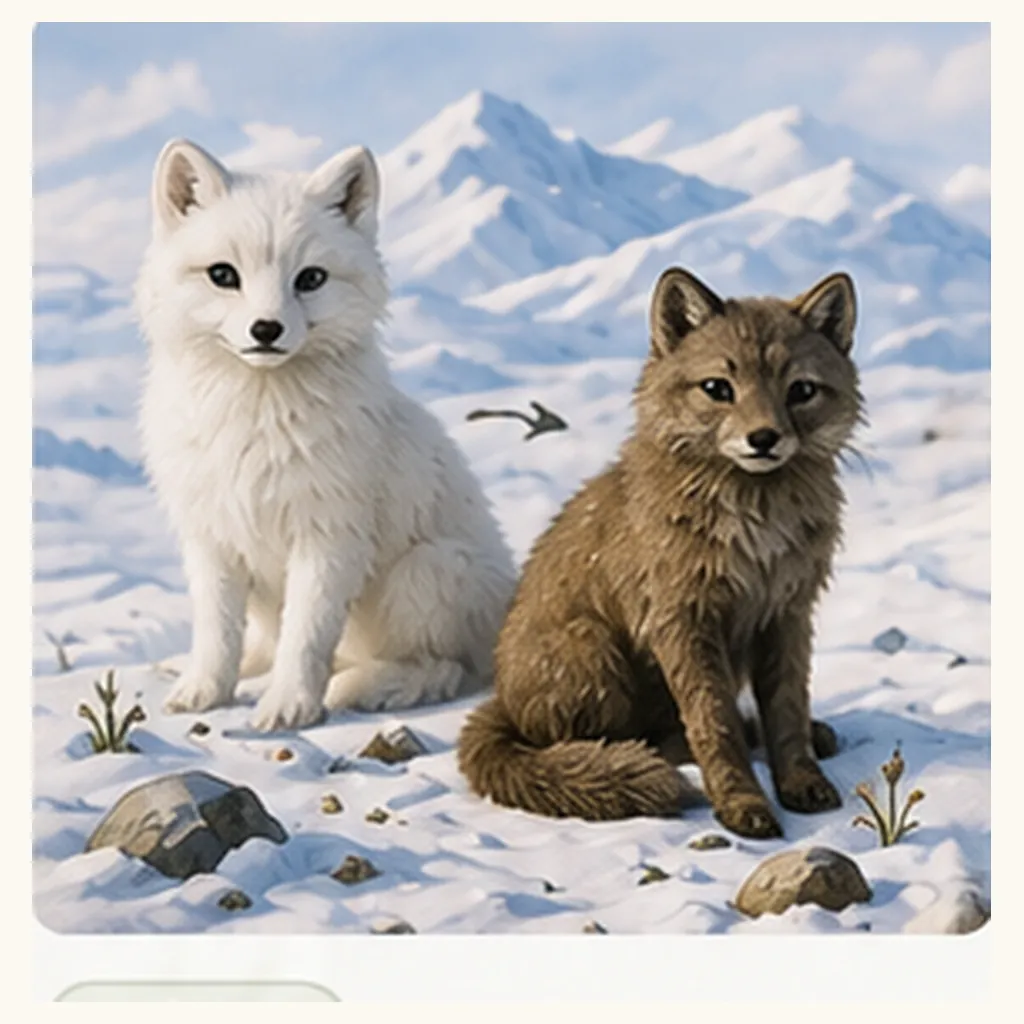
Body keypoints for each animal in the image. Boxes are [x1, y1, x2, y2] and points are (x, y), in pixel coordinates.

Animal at [135, 139, 516, 732]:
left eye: (310, 279)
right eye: (223, 275)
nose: (266, 330)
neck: (256, 418)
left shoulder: (329, 537)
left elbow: (306, 635)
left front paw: (289, 707)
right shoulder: (211, 536)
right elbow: (217, 631)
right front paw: (204, 692)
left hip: (428, 571)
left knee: (444, 668)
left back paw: (363, 687)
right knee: (260, 642)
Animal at [458, 267, 863, 838]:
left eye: (801, 390)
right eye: (718, 388)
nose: (763, 438)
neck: (754, 524)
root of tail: (502, 703)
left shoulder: (786, 611)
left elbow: (787, 713)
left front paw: (801, 781)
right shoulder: (682, 619)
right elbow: (713, 725)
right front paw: (743, 803)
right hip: (593, 651)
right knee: (633, 740)